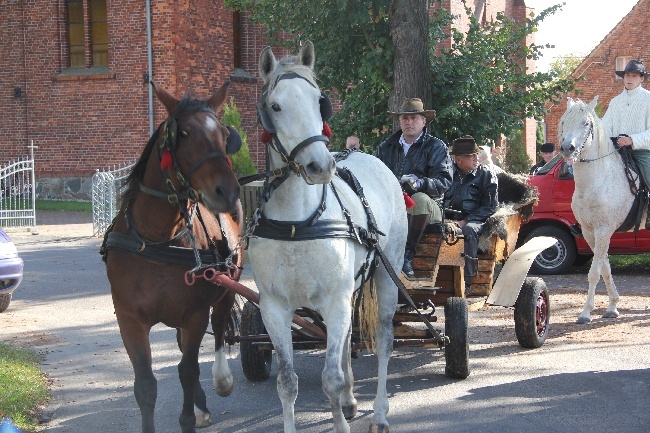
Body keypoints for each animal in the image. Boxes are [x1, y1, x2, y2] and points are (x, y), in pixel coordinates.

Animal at [101, 81, 243, 432]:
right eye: (185, 133)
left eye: (224, 133)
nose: (228, 191)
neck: (158, 240)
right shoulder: (130, 319)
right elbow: (146, 385)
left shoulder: (194, 315)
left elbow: (188, 371)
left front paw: (190, 417)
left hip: (224, 289)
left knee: (219, 327)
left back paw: (220, 381)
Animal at [248, 40, 404, 432]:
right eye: (275, 106)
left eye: (320, 101)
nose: (320, 166)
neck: (298, 224)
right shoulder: (274, 308)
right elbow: (287, 381)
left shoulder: (334, 300)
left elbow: (329, 377)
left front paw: (342, 417)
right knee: (348, 339)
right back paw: (350, 400)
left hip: (387, 272)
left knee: (383, 339)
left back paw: (379, 412)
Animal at [556, 96, 644, 322]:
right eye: (564, 121)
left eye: (586, 123)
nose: (568, 148)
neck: (598, 180)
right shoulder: (590, 232)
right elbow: (604, 267)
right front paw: (612, 306)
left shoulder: (603, 229)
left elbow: (594, 272)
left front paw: (586, 312)